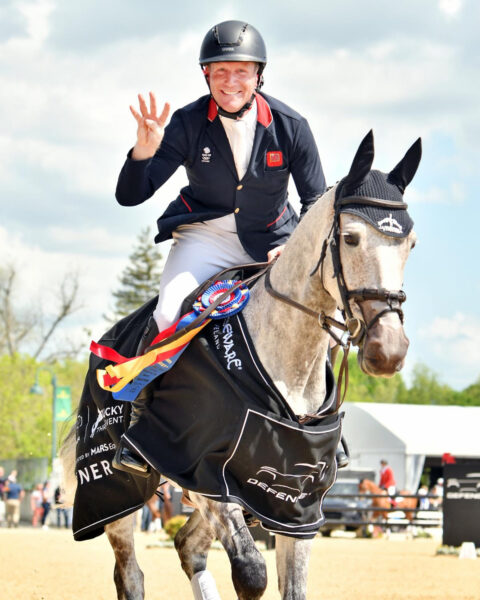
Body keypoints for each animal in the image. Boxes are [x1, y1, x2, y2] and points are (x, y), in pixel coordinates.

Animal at [62, 132, 418, 600]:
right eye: (352, 238)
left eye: (410, 245)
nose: (388, 350)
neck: (287, 364)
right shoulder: (207, 477)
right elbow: (252, 573)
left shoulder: (295, 506)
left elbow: (292, 586)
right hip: (114, 487)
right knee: (130, 571)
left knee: (187, 546)